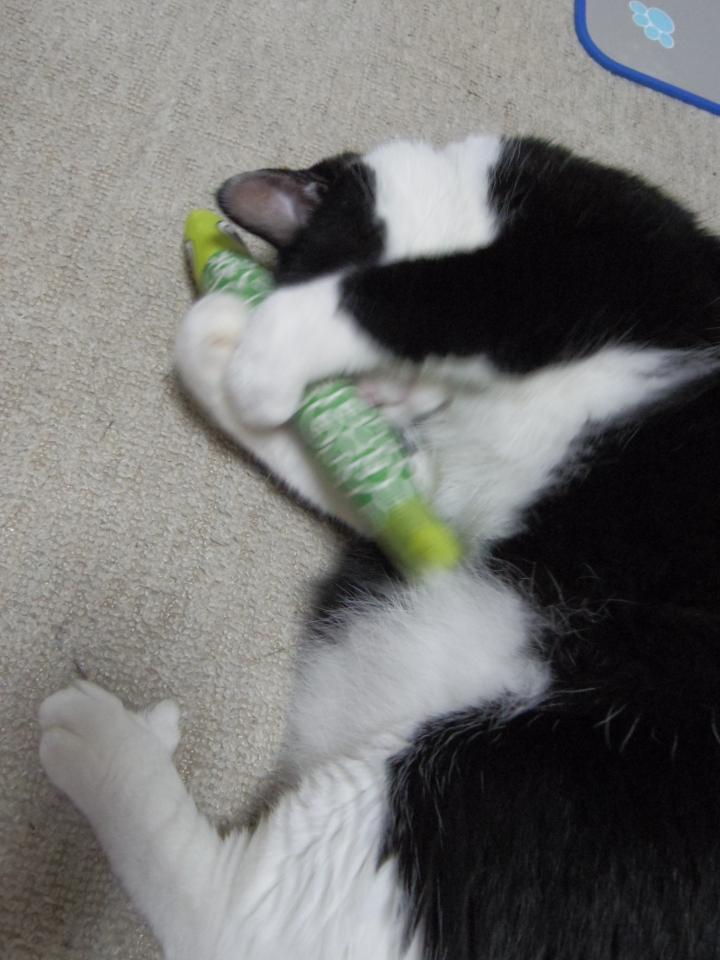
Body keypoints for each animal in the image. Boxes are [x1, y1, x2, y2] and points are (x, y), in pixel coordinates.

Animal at [39, 134, 720, 959]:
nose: (380, 401)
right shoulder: (436, 503)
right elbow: (372, 473)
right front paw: (228, 346)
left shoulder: (564, 262)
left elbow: (408, 291)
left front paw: (257, 356)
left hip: (505, 789)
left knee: (235, 917)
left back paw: (93, 735)